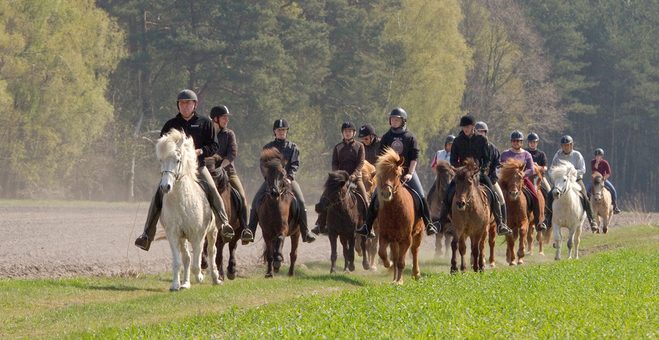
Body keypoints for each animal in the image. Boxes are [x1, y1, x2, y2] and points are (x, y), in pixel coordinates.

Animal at [157, 129, 222, 290]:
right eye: (161, 160)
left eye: (177, 160)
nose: (165, 187)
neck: (182, 202)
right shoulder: (174, 235)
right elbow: (178, 262)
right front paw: (175, 285)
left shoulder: (198, 236)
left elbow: (196, 265)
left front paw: (200, 277)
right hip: (183, 238)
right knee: (186, 258)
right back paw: (185, 284)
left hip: (212, 231)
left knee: (212, 251)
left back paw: (215, 278)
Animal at [260, 147, 300, 278]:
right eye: (267, 174)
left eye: (282, 174)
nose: (274, 193)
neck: (274, 208)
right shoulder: (266, 233)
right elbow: (269, 254)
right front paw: (269, 273)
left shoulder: (283, 229)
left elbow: (281, 238)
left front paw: (278, 261)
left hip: (296, 233)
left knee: (293, 253)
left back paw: (291, 273)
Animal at [376, 148, 422, 284]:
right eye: (381, 175)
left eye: (396, 175)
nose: (386, 193)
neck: (394, 211)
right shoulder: (385, 236)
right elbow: (383, 254)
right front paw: (389, 266)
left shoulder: (406, 239)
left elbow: (401, 261)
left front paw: (400, 281)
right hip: (394, 241)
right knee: (396, 256)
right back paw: (394, 277)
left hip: (418, 233)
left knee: (415, 250)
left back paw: (415, 273)